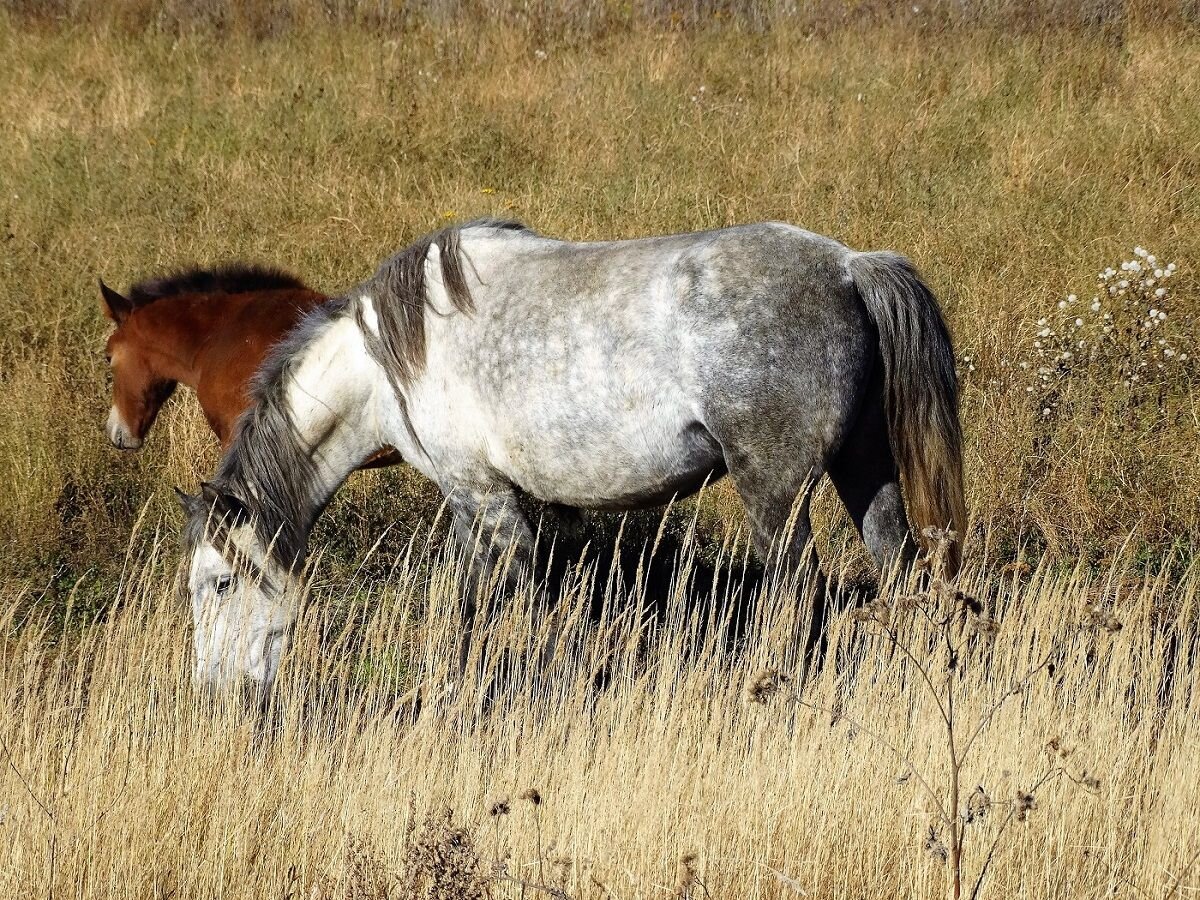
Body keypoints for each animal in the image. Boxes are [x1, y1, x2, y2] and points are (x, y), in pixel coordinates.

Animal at [175, 222, 964, 696]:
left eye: (218, 583)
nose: (217, 693)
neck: (390, 362)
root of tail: (850, 269)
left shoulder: (484, 498)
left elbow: (502, 602)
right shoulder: (483, 505)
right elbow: (469, 602)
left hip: (774, 490)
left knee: (801, 595)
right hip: (865, 472)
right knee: (901, 572)